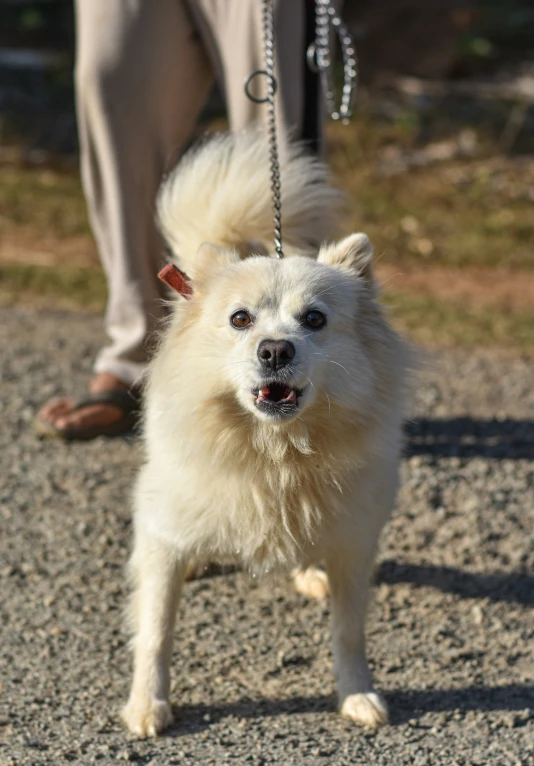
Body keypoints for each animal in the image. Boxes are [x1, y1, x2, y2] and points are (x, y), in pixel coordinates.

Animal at [123, 130, 410, 736]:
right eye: (240, 319)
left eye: (315, 319)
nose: (275, 350)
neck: (276, 455)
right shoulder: (161, 541)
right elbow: (156, 632)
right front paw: (146, 706)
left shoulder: (355, 541)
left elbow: (349, 633)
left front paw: (358, 696)